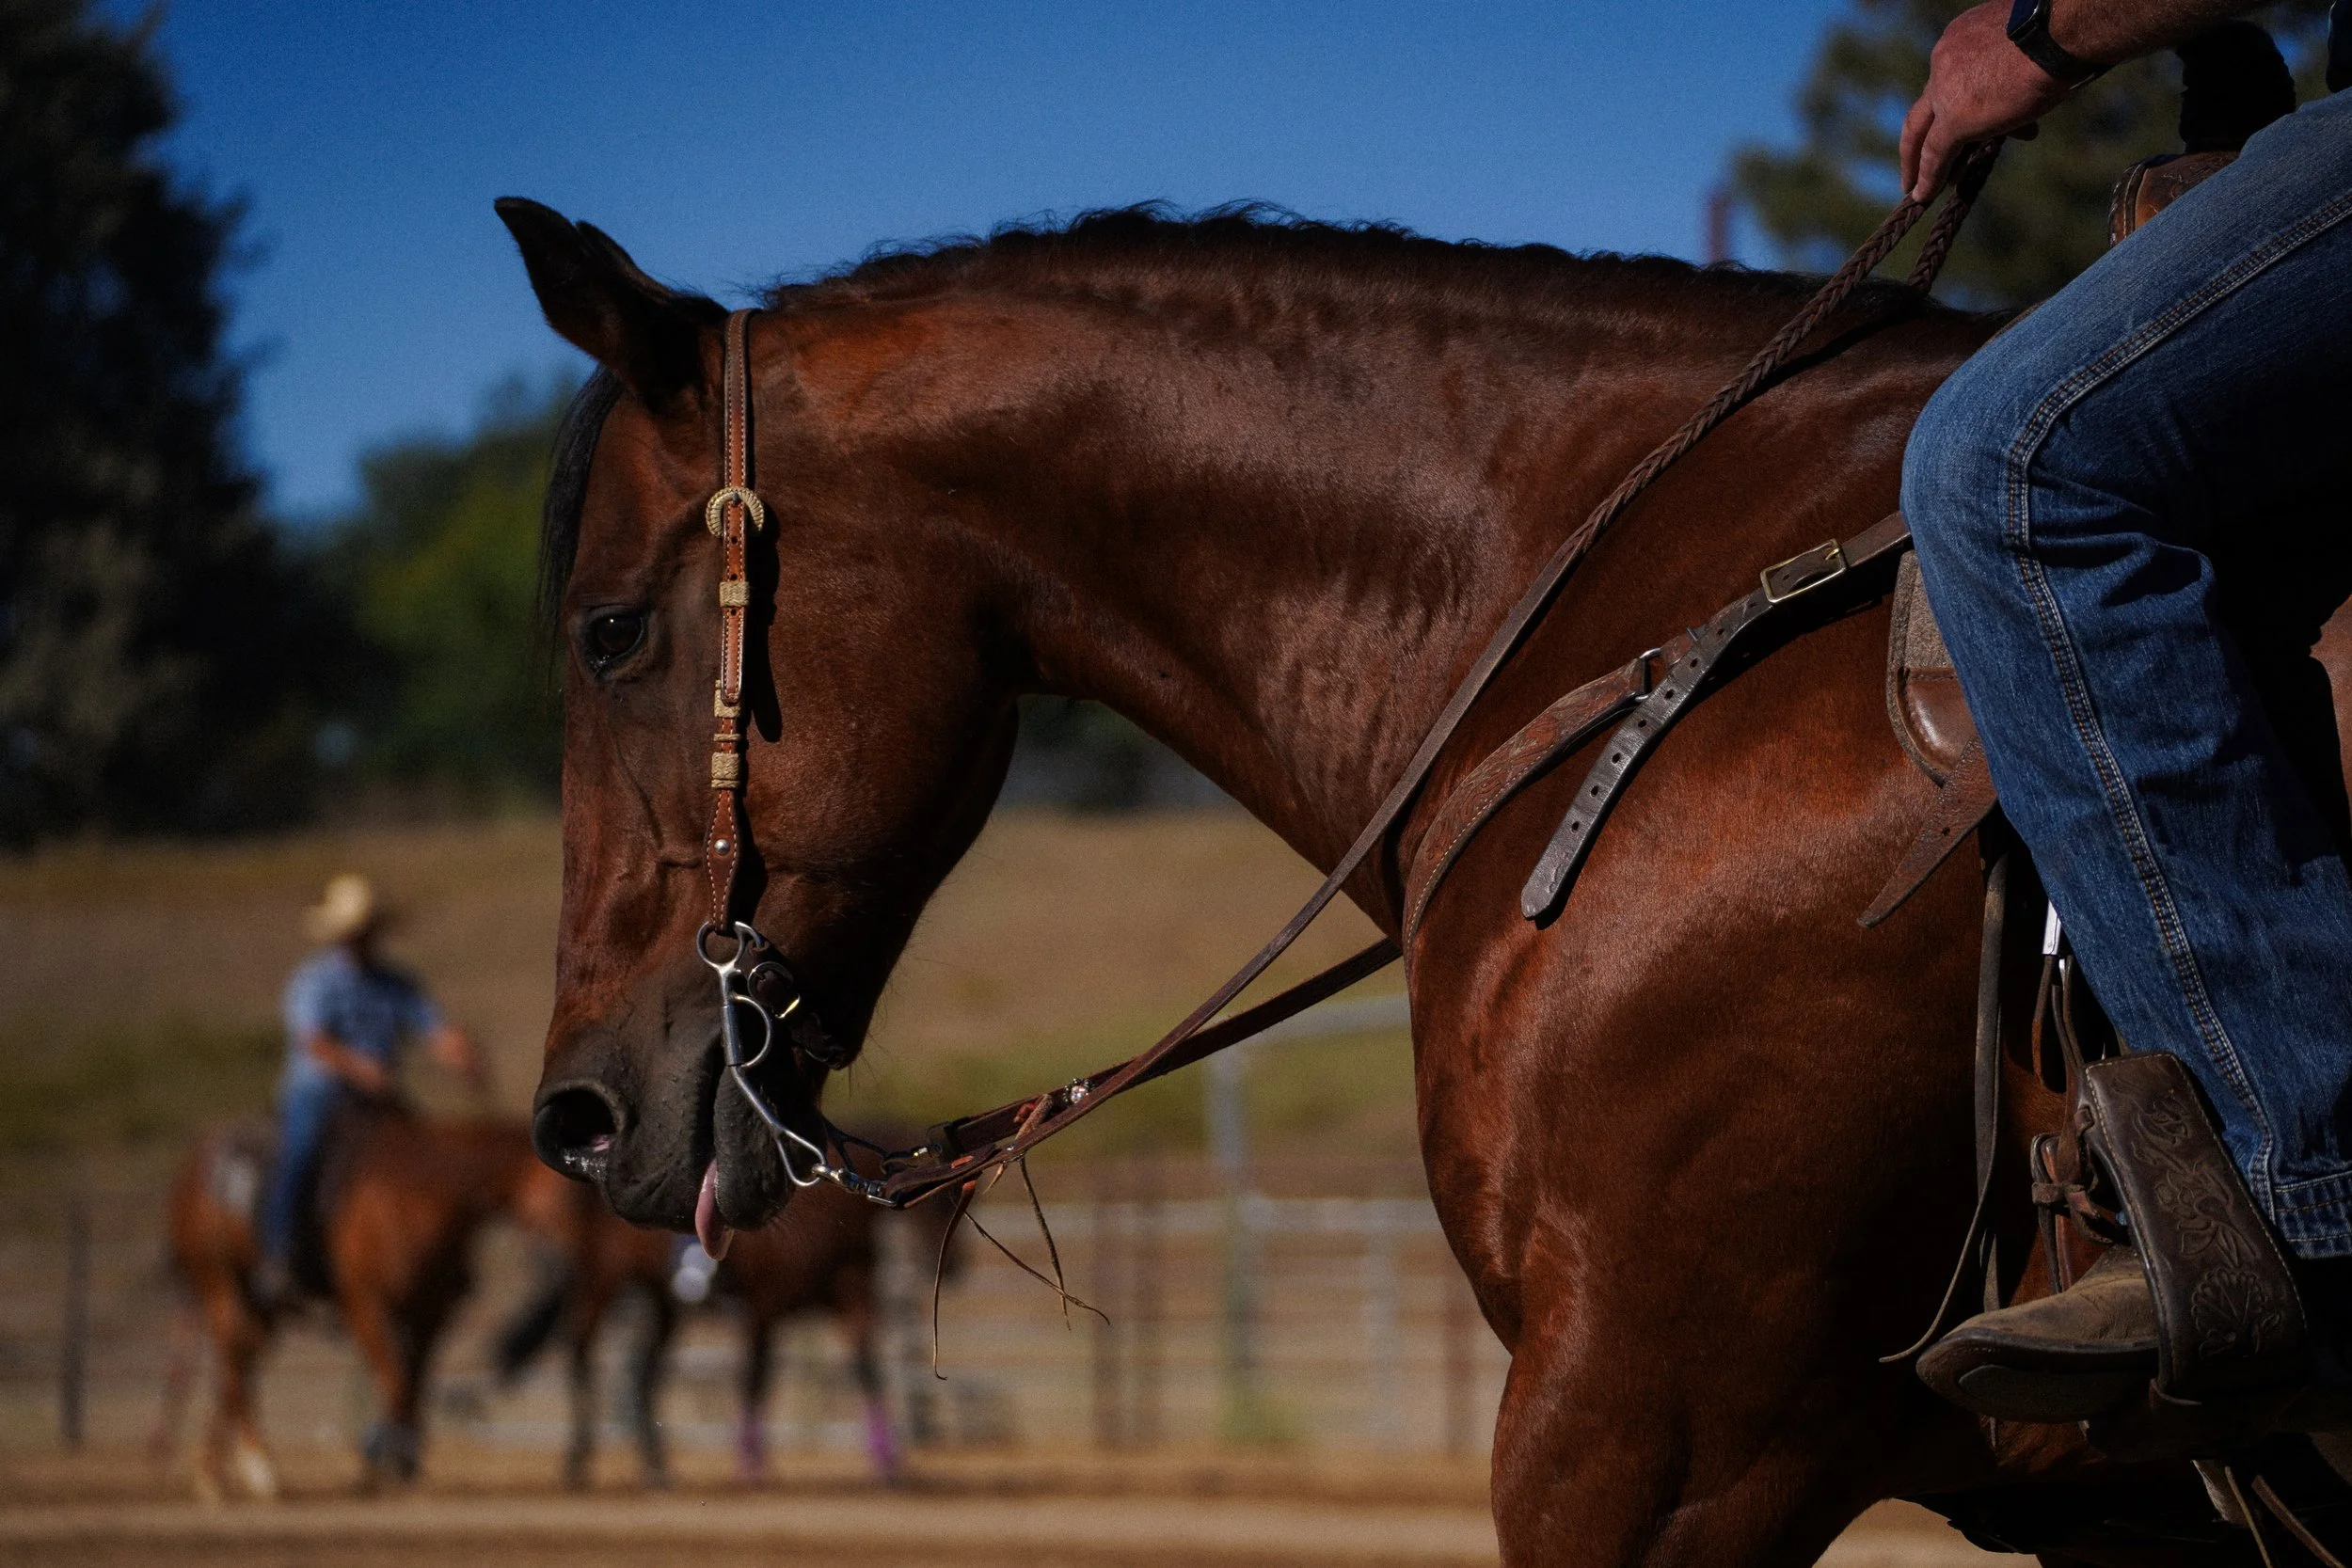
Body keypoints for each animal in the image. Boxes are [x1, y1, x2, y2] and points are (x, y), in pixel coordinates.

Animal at [161, 1103, 560, 1498]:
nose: (558, 1264)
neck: (417, 1196)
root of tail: (198, 1161)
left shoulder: (429, 1314)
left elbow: (412, 1385)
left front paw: (401, 1463)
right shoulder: (365, 1306)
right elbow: (396, 1381)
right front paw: (375, 1464)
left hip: (260, 1305)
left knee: (237, 1365)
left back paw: (222, 1471)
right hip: (220, 1283)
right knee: (233, 1362)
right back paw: (254, 1469)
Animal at [495, 1167, 954, 1488]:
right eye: (940, 1200)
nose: (954, 1265)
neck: (827, 1215)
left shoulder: (853, 1300)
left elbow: (867, 1370)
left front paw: (889, 1463)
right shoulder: (765, 1309)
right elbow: (755, 1377)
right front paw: (752, 1465)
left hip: (663, 1304)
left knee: (643, 1373)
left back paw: (656, 1467)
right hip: (602, 1285)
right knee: (581, 1353)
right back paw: (578, 1458)